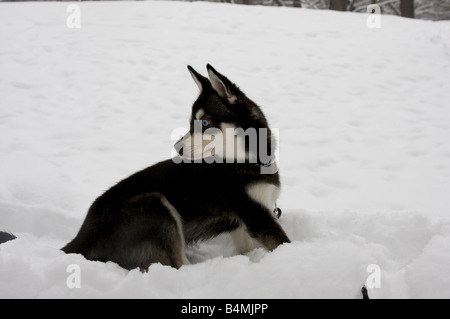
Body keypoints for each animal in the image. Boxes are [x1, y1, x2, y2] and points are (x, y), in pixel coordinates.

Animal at [0, 66, 292, 272]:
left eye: (205, 122)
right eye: (191, 122)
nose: (177, 148)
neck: (246, 161)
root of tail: (82, 235)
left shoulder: (246, 221)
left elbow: (248, 246)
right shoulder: (256, 216)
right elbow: (285, 244)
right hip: (155, 205)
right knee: (177, 266)